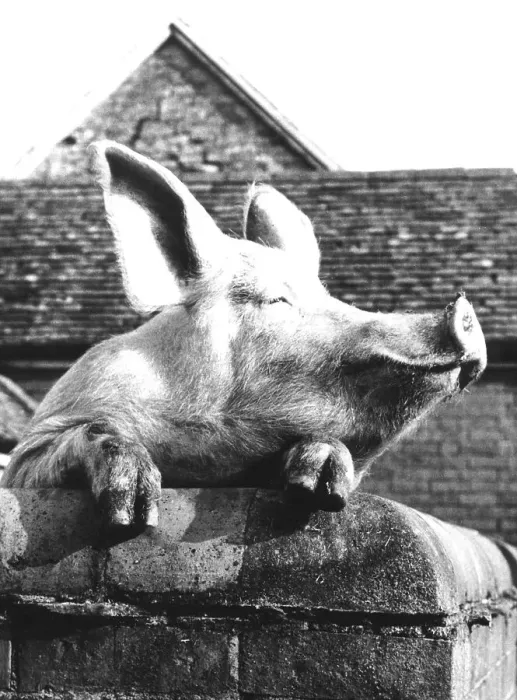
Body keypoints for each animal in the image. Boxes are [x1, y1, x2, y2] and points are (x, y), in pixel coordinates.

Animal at [1, 142, 487, 526]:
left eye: (328, 296)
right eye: (276, 300)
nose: (460, 308)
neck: (207, 465)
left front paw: (320, 487)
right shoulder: (33, 449)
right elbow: (88, 435)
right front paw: (133, 515)